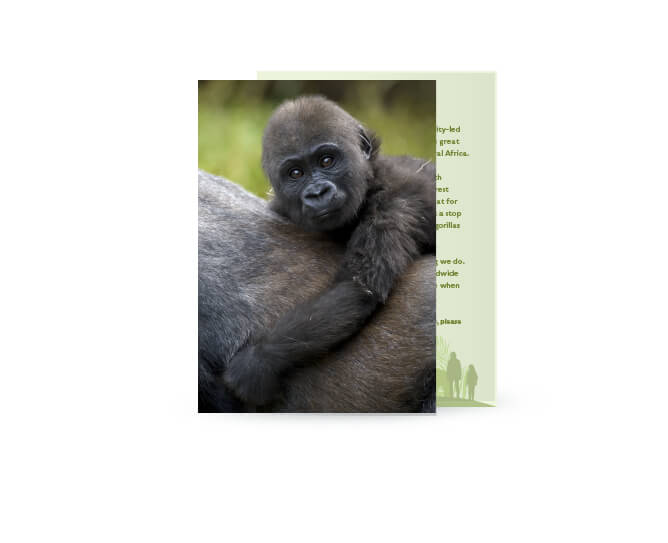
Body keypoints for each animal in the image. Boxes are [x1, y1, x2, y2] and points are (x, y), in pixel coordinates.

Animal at [221, 96, 436, 407]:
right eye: (295, 173)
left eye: (327, 160)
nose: (318, 192)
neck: (371, 179)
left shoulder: (394, 205)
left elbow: (357, 288)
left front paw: (258, 362)